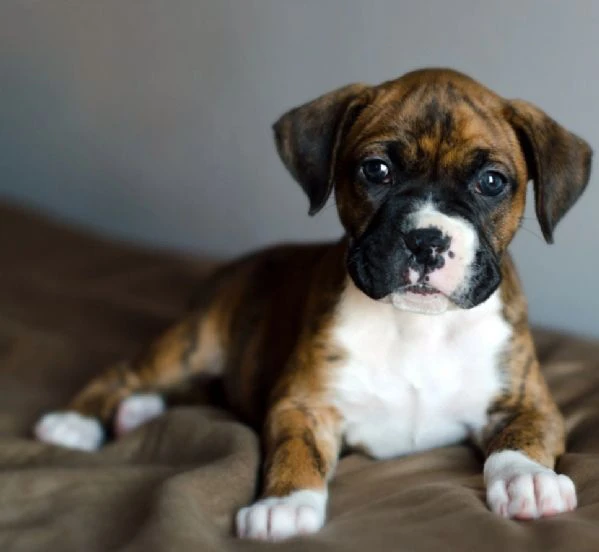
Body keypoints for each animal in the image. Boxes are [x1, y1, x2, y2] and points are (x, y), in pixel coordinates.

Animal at [35, 68, 592, 540]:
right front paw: (283, 505)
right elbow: (294, 454)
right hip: (193, 341)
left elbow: (522, 438)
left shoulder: (530, 401)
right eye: (376, 170)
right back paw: (77, 422)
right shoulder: (301, 405)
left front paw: (528, 480)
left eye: (491, 181)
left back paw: (137, 413)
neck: (416, 326)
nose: (427, 240)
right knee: (125, 373)